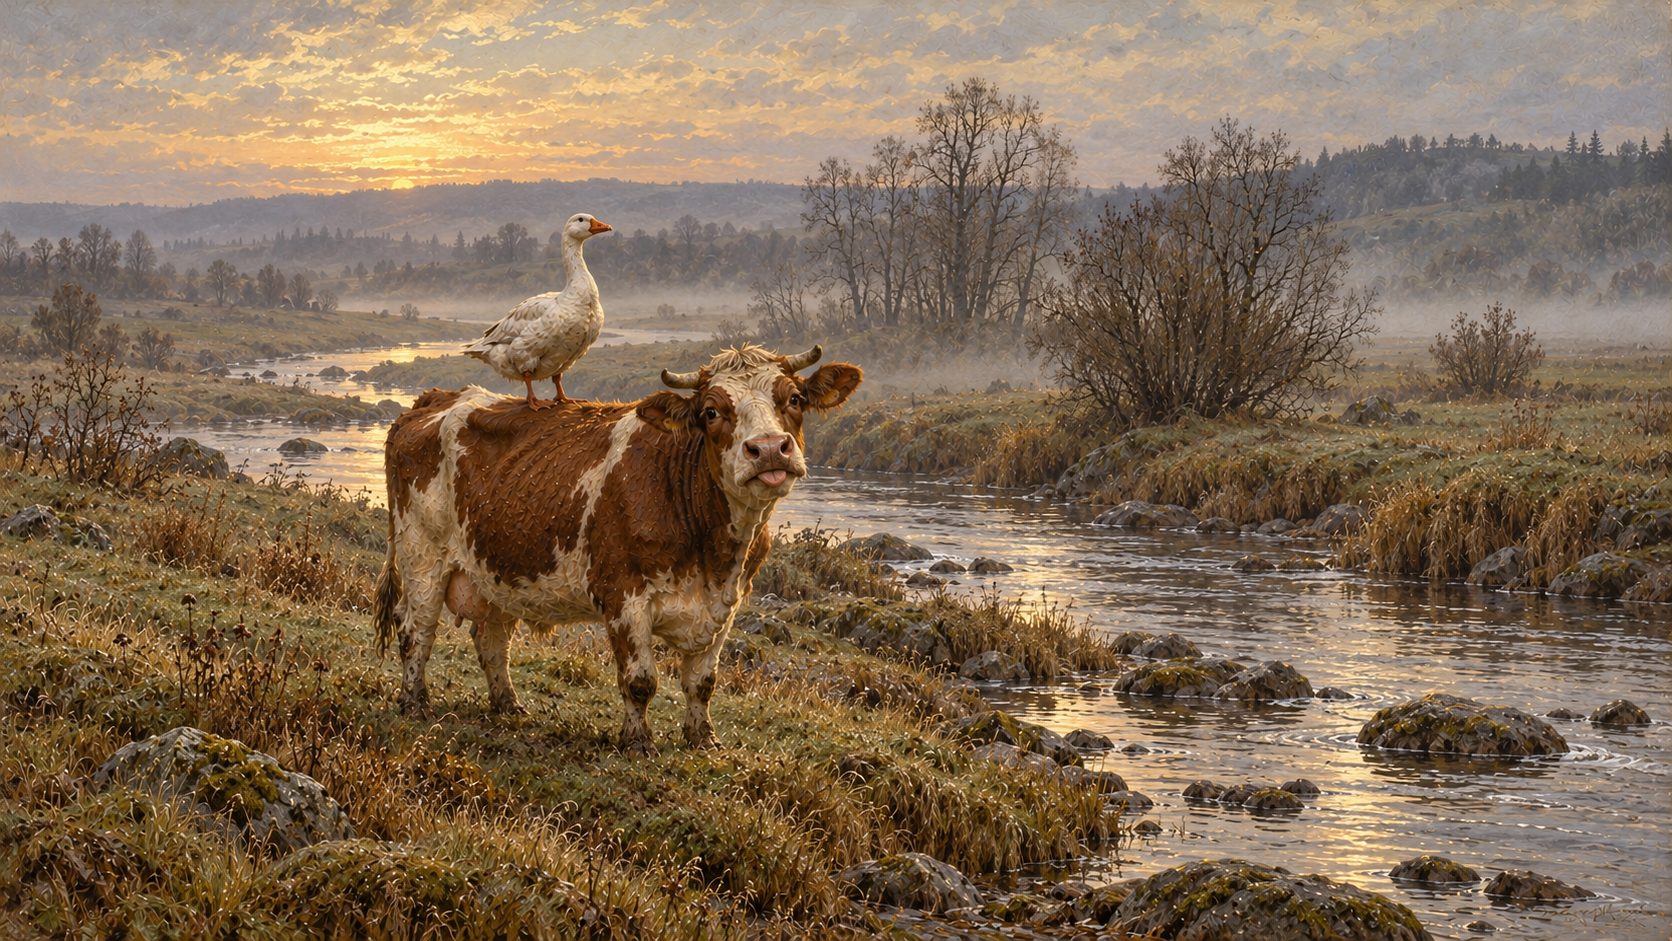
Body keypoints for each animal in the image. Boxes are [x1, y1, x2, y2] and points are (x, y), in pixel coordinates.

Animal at [373, 343, 861, 752]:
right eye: (711, 411)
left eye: (794, 399)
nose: (768, 449)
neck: (714, 550)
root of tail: (436, 398)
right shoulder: (624, 595)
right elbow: (640, 679)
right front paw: (638, 742)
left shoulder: (728, 603)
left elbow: (703, 682)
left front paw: (703, 739)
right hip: (421, 554)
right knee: (415, 630)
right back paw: (415, 702)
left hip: (494, 566)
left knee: (491, 638)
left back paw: (508, 704)